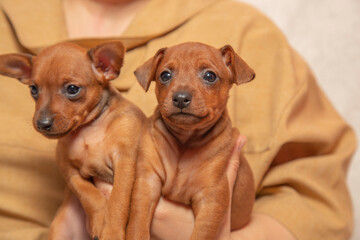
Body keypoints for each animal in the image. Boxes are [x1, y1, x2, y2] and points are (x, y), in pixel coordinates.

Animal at [0, 41, 146, 240]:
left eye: (72, 89)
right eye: (33, 89)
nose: (42, 123)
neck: (90, 130)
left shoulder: (125, 164)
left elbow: (118, 202)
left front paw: (111, 232)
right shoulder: (72, 174)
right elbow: (90, 196)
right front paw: (99, 221)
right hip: (60, 230)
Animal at [126, 42, 256, 239]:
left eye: (210, 76)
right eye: (165, 75)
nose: (180, 98)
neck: (185, 141)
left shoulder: (212, 198)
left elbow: (201, 234)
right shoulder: (147, 183)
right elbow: (137, 225)